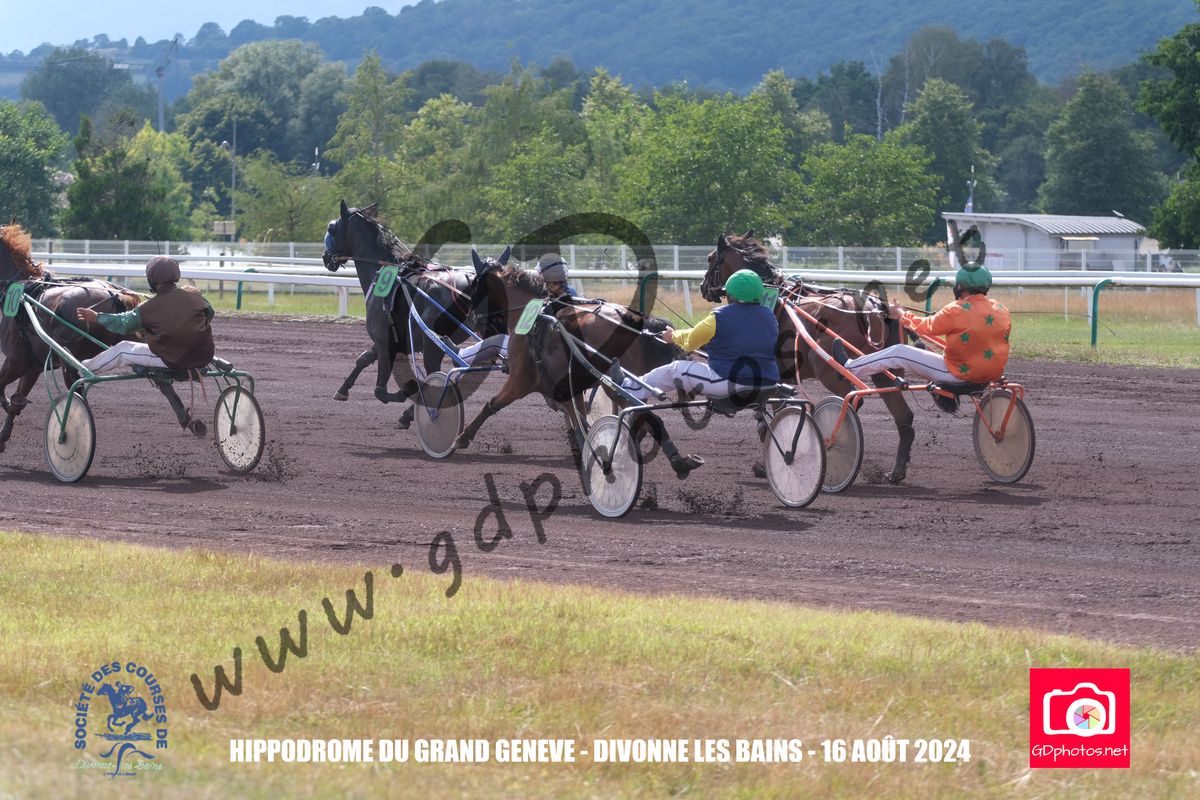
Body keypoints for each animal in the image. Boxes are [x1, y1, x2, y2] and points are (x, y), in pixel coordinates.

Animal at [0, 223, 142, 453]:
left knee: (77, 390)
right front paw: (3, 436)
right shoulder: (32, 364)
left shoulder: (15, 360)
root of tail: (113, 294)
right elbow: (17, 400)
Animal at [323, 201, 504, 429]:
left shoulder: (384, 339)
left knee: (438, 374)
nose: (326, 258)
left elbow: (380, 390)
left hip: (433, 343)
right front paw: (343, 389)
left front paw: (405, 394)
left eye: (331, 228)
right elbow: (363, 359)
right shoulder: (387, 339)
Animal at [454, 256, 703, 477]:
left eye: (474, 285)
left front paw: (462, 438)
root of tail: (633, 321)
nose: (472, 319)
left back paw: (675, 461)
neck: (535, 314)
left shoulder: (520, 381)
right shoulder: (568, 388)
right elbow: (578, 420)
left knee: (647, 417)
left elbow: (491, 405)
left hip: (615, 384)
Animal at [699, 231, 918, 482]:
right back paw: (896, 471)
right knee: (904, 416)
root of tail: (872, 308)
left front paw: (766, 463)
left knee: (852, 401)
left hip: (826, 367)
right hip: (884, 370)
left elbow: (774, 415)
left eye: (710, 258)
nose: (702, 286)